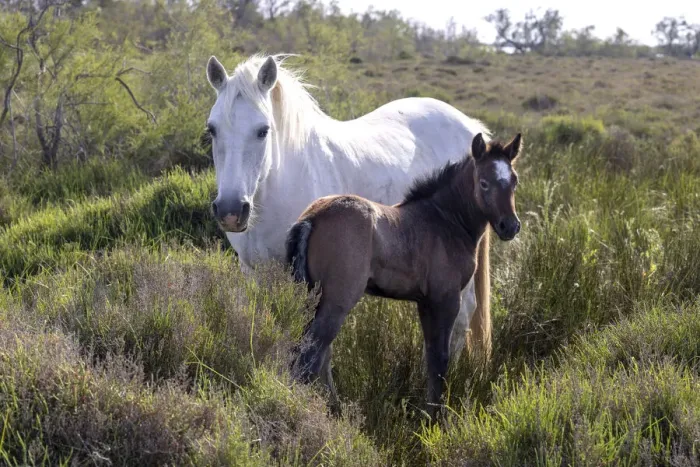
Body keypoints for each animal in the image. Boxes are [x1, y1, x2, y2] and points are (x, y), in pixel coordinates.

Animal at [204, 53, 492, 360]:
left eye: (263, 131)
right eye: (212, 129)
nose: (231, 211)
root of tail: (470, 126)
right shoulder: (253, 272)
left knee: (462, 316)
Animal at [285, 132, 524, 417]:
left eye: (514, 180)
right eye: (484, 183)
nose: (509, 226)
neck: (445, 221)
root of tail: (313, 217)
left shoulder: (426, 302)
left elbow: (431, 356)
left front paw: (428, 411)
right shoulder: (446, 299)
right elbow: (440, 359)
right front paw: (437, 417)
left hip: (308, 297)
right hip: (337, 301)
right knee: (311, 354)